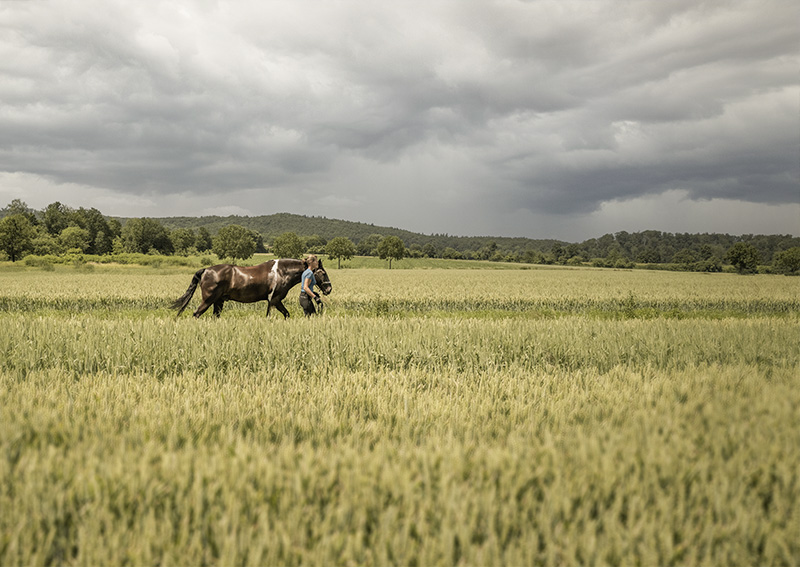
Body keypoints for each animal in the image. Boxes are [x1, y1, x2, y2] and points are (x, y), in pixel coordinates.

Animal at [170, 258, 332, 318]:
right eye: (323, 273)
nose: (329, 289)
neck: (282, 272)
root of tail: (206, 270)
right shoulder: (275, 300)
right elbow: (282, 314)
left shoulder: (273, 301)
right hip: (208, 300)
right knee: (196, 314)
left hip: (218, 301)